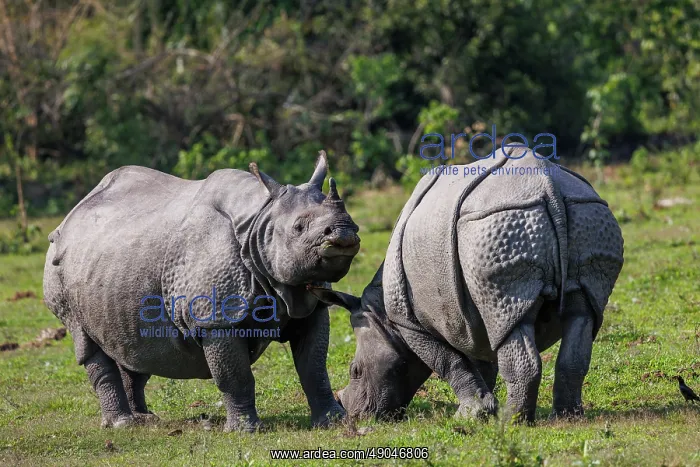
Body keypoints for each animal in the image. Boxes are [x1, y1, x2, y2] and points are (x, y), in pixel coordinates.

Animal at [43, 152, 360, 431]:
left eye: (351, 218)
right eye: (298, 227)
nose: (344, 232)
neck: (260, 221)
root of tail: (69, 216)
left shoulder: (311, 304)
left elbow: (314, 367)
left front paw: (334, 421)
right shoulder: (215, 320)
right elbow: (235, 376)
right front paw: (246, 431)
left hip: (113, 267)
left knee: (130, 342)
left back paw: (146, 420)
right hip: (56, 271)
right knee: (86, 341)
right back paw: (122, 425)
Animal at [311, 148, 624, 423]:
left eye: (355, 371)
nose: (355, 414)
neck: (382, 316)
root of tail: (549, 187)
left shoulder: (409, 322)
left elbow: (448, 362)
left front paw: (472, 416)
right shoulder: (473, 320)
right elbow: (483, 362)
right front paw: (484, 410)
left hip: (495, 224)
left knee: (513, 311)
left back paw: (512, 423)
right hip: (587, 215)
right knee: (581, 315)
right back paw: (567, 418)